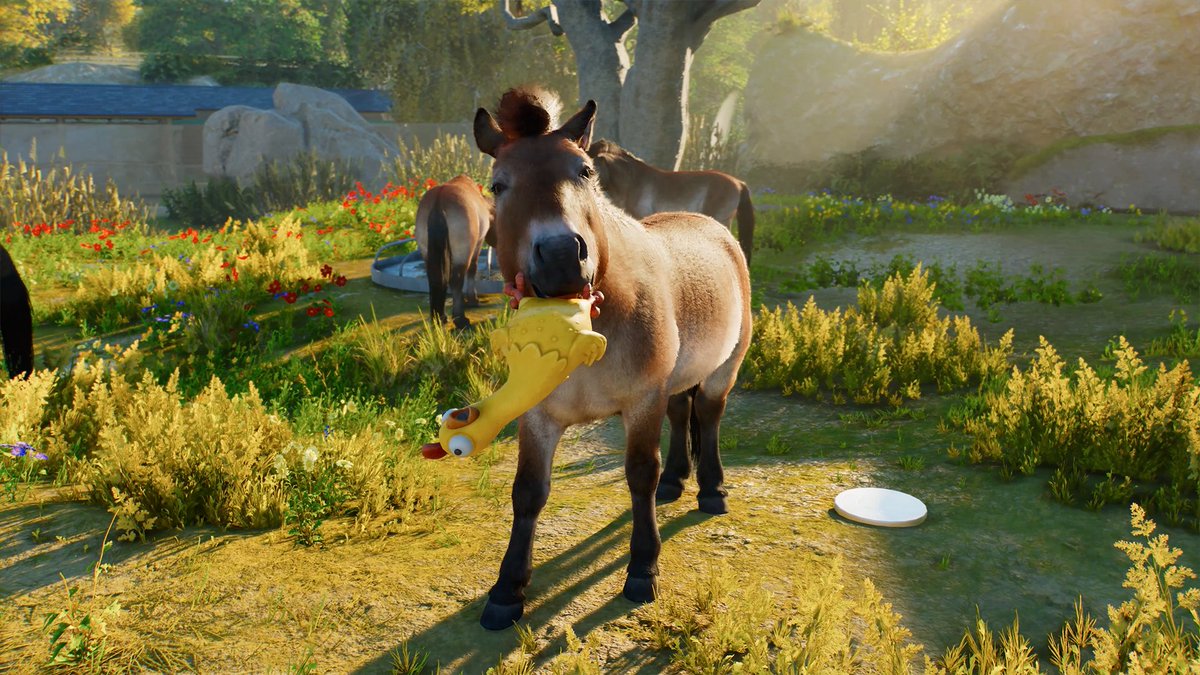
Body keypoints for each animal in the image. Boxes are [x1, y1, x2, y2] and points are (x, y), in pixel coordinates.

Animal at [414, 175, 493, 329]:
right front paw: (472, 299)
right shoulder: (477, 244)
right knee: (456, 279)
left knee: (436, 279)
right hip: (462, 252)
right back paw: (460, 319)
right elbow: (472, 270)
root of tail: (439, 201)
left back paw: (439, 317)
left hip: (428, 253)